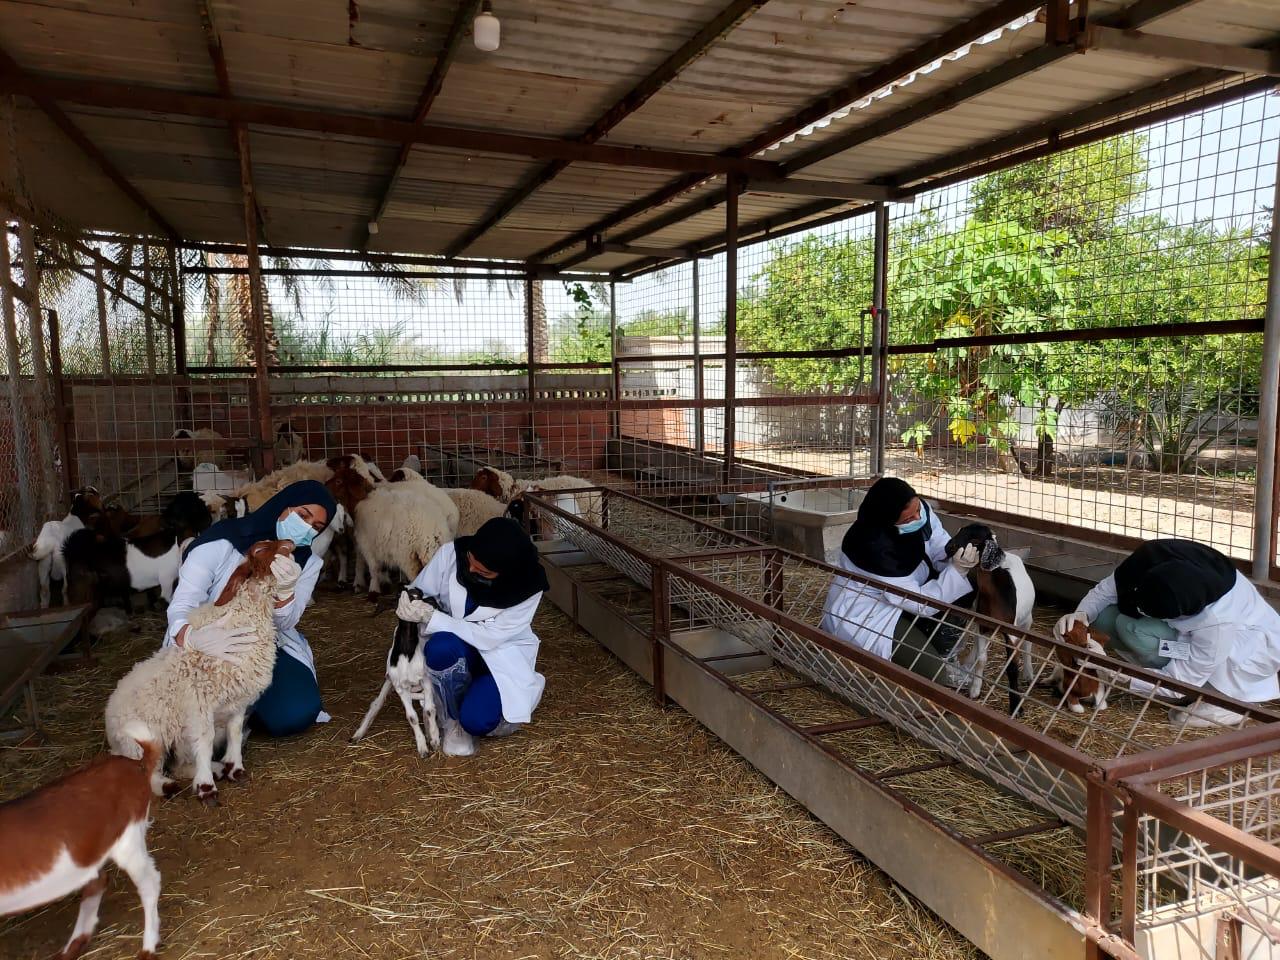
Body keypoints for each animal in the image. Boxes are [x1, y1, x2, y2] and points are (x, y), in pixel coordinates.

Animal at [0, 721, 162, 960]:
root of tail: (136, 765)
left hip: (128, 839)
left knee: (149, 882)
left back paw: (148, 947)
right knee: (97, 881)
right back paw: (73, 946)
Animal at [105, 539, 292, 805]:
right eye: (260, 550)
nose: (290, 543)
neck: (244, 616)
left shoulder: (239, 699)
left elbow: (235, 732)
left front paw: (235, 768)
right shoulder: (199, 703)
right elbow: (205, 740)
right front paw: (206, 787)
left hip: (177, 739)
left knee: (179, 765)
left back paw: (216, 768)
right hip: (147, 739)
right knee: (149, 770)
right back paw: (167, 785)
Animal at [350, 586, 441, 757]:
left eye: (420, 595)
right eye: (404, 597)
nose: (432, 601)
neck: (407, 652)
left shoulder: (426, 679)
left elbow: (429, 710)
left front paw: (434, 739)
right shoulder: (400, 686)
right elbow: (412, 717)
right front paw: (422, 747)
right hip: (389, 679)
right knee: (377, 703)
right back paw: (358, 734)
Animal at [942, 523, 1036, 713]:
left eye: (975, 539)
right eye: (960, 530)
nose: (948, 547)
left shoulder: (1011, 633)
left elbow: (1012, 667)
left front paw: (1016, 706)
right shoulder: (983, 625)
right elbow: (982, 658)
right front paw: (975, 690)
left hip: (1027, 619)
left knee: (1028, 643)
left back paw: (1029, 673)